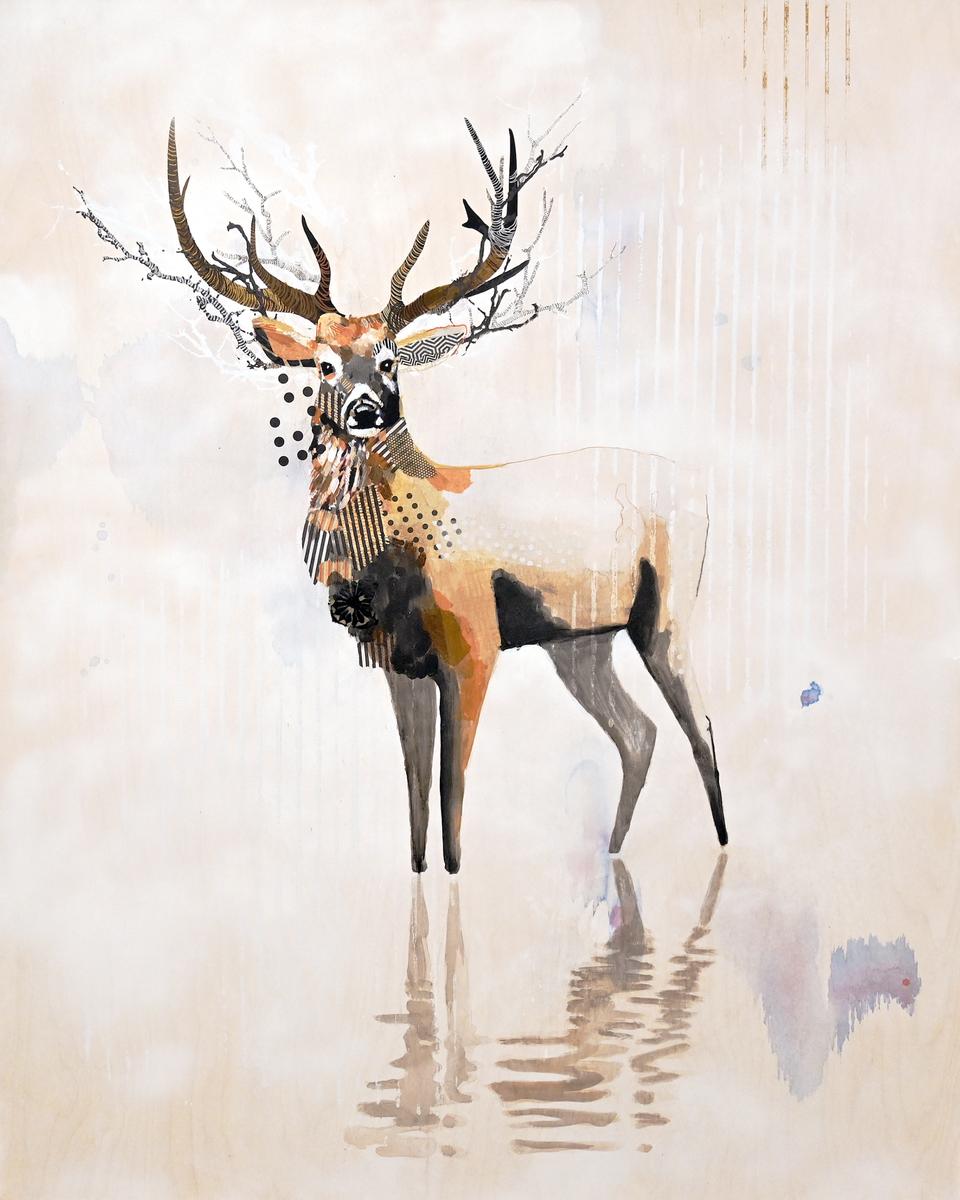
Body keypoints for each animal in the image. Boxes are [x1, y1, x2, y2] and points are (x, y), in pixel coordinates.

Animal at [166, 116, 728, 874]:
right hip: (580, 643)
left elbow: (453, 801)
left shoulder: (474, 646)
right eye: (323, 363)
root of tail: (700, 487)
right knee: (639, 733)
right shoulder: (398, 663)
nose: (368, 410)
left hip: (668, 610)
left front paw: (457, 880)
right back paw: (612, 855)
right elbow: (414, 802)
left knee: (702, 725)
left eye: (390, 358)